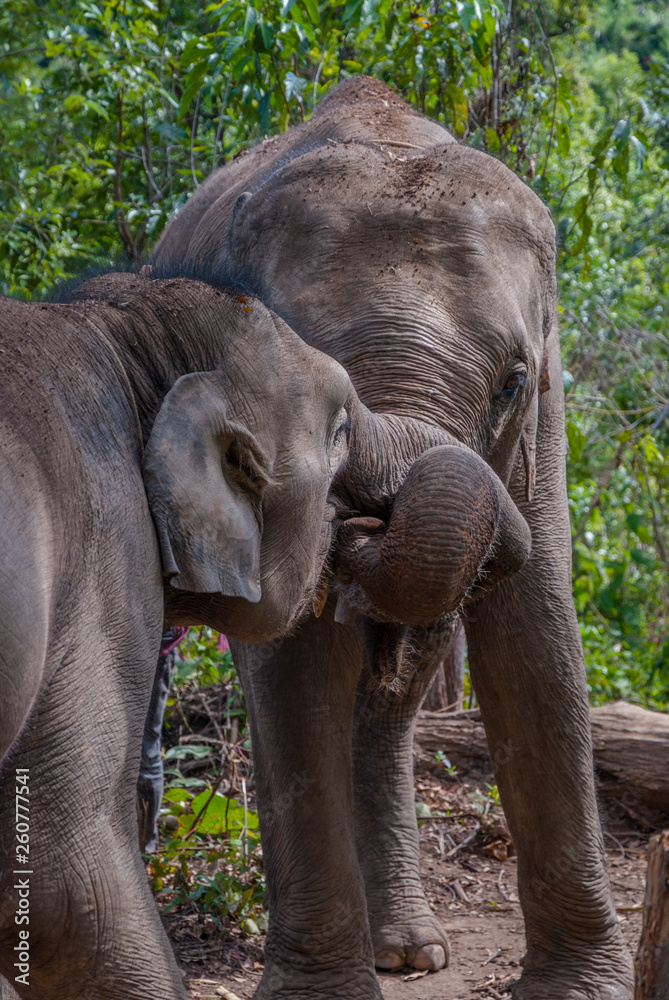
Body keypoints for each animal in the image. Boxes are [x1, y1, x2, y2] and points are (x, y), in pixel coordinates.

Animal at [150, 76, 634, 999]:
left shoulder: (544, 419)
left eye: (512, 381)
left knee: (395, 695)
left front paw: (581, 989)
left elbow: (537, 634)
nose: (366, 519)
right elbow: (292, 666)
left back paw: (409, 952)